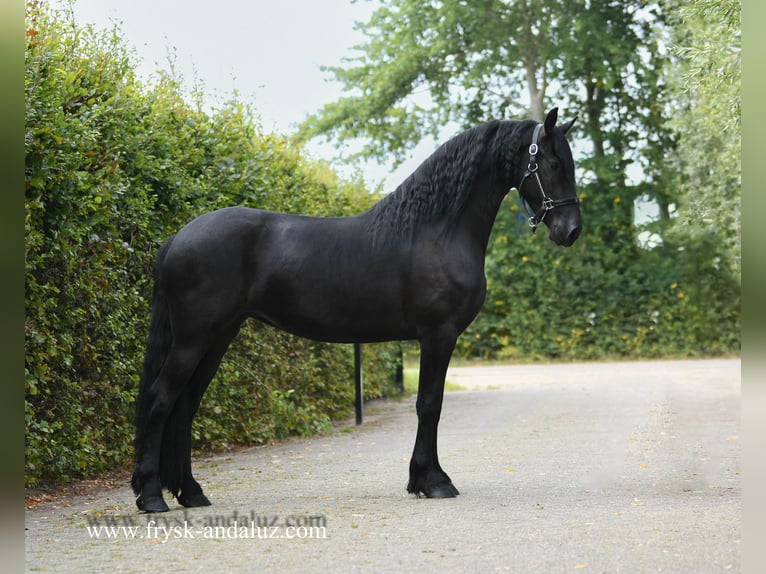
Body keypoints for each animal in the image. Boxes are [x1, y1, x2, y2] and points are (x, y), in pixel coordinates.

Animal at [131, 107, 582, 512]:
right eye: (552, 162)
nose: (571, 230)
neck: (434, 230)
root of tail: (177, 238)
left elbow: (429, 405)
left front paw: (422, 479)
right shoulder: (438, 334)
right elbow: (429, 404)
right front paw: (433, 481)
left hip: (218, 336)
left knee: (185, 406)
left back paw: (191, 493)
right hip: (193, 339)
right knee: (160, 399)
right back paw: (152, 496)